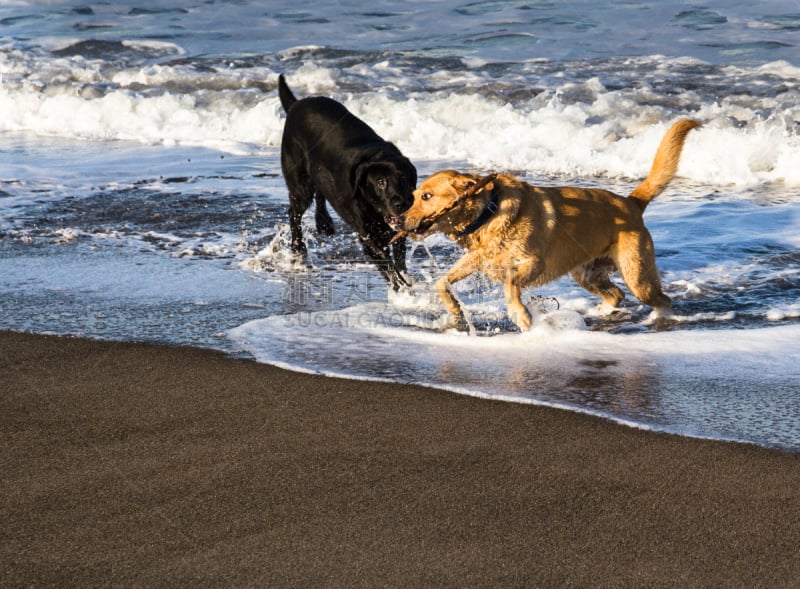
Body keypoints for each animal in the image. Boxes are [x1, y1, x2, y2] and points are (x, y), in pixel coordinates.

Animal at [280, 74, 418, 290]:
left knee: (321, 191)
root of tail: (296, 104)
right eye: (380, 182)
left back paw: (324, 223)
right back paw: (298, 250)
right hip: (299, 182)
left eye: (403, 178)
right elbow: (390, 269)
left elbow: (399, 258)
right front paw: (405, 291)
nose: (400, 203)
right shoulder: (369, 238)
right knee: (294, 213)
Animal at [400, 118, 700, 330]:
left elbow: (510, 284)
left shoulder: (534, 262)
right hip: (587, 274)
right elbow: (442, 282)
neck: (489, 212)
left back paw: (660, 317)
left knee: (660, 299)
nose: (397, 219)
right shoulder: (476, 259)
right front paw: (455, 311)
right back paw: (600, 312)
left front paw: (521, 316)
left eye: (427, 197)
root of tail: (631, 202)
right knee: (615, 295)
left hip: (637, 276)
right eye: (414, 196)